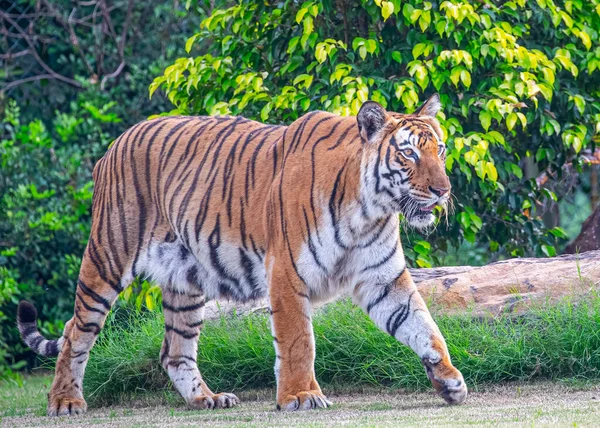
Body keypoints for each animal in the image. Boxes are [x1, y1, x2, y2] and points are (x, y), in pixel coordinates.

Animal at [17, 93, 468, 414]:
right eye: (409, 153)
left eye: (441, 150)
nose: (443, 190)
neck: (370, 210)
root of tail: (113, 146)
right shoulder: (287, 273)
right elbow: (298, 340)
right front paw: (301, 396)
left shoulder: (383, 278)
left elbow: (422, 324)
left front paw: (449, 379)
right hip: (108, 257)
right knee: (76, 331)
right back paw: (65, 402)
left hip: (186, 281)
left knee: (174, 352)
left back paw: (206, 399)